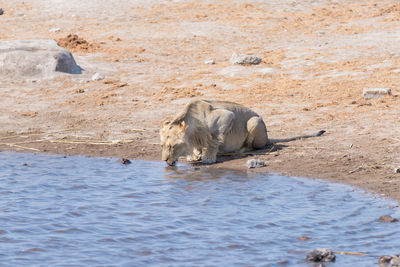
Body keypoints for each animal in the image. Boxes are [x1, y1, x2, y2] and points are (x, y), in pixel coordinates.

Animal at [159, 99, 324, 166]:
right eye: (162, 146)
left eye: (172, 146)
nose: (164, 160)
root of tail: (268, 137)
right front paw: (195, 155)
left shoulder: (226, 116)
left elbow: (214, 139)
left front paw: (208, 158)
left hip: (254, 121)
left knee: (252, 146)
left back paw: (240, 150)